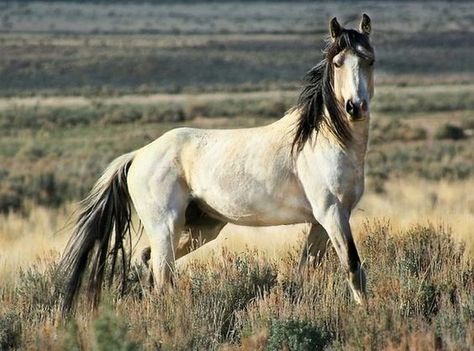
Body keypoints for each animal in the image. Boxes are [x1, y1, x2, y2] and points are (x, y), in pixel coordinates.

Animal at [59, 13, 376, 312]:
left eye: (369, 60)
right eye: (337, 63)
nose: (355, 107)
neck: (324, 140)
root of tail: (138, 155)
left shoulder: (320, 222)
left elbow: (306, 269)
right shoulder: (331, 214)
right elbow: (353, 266)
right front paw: (365, 313)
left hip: (202, 227)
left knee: (148, 261)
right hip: (166, 227)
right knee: (163, 274)